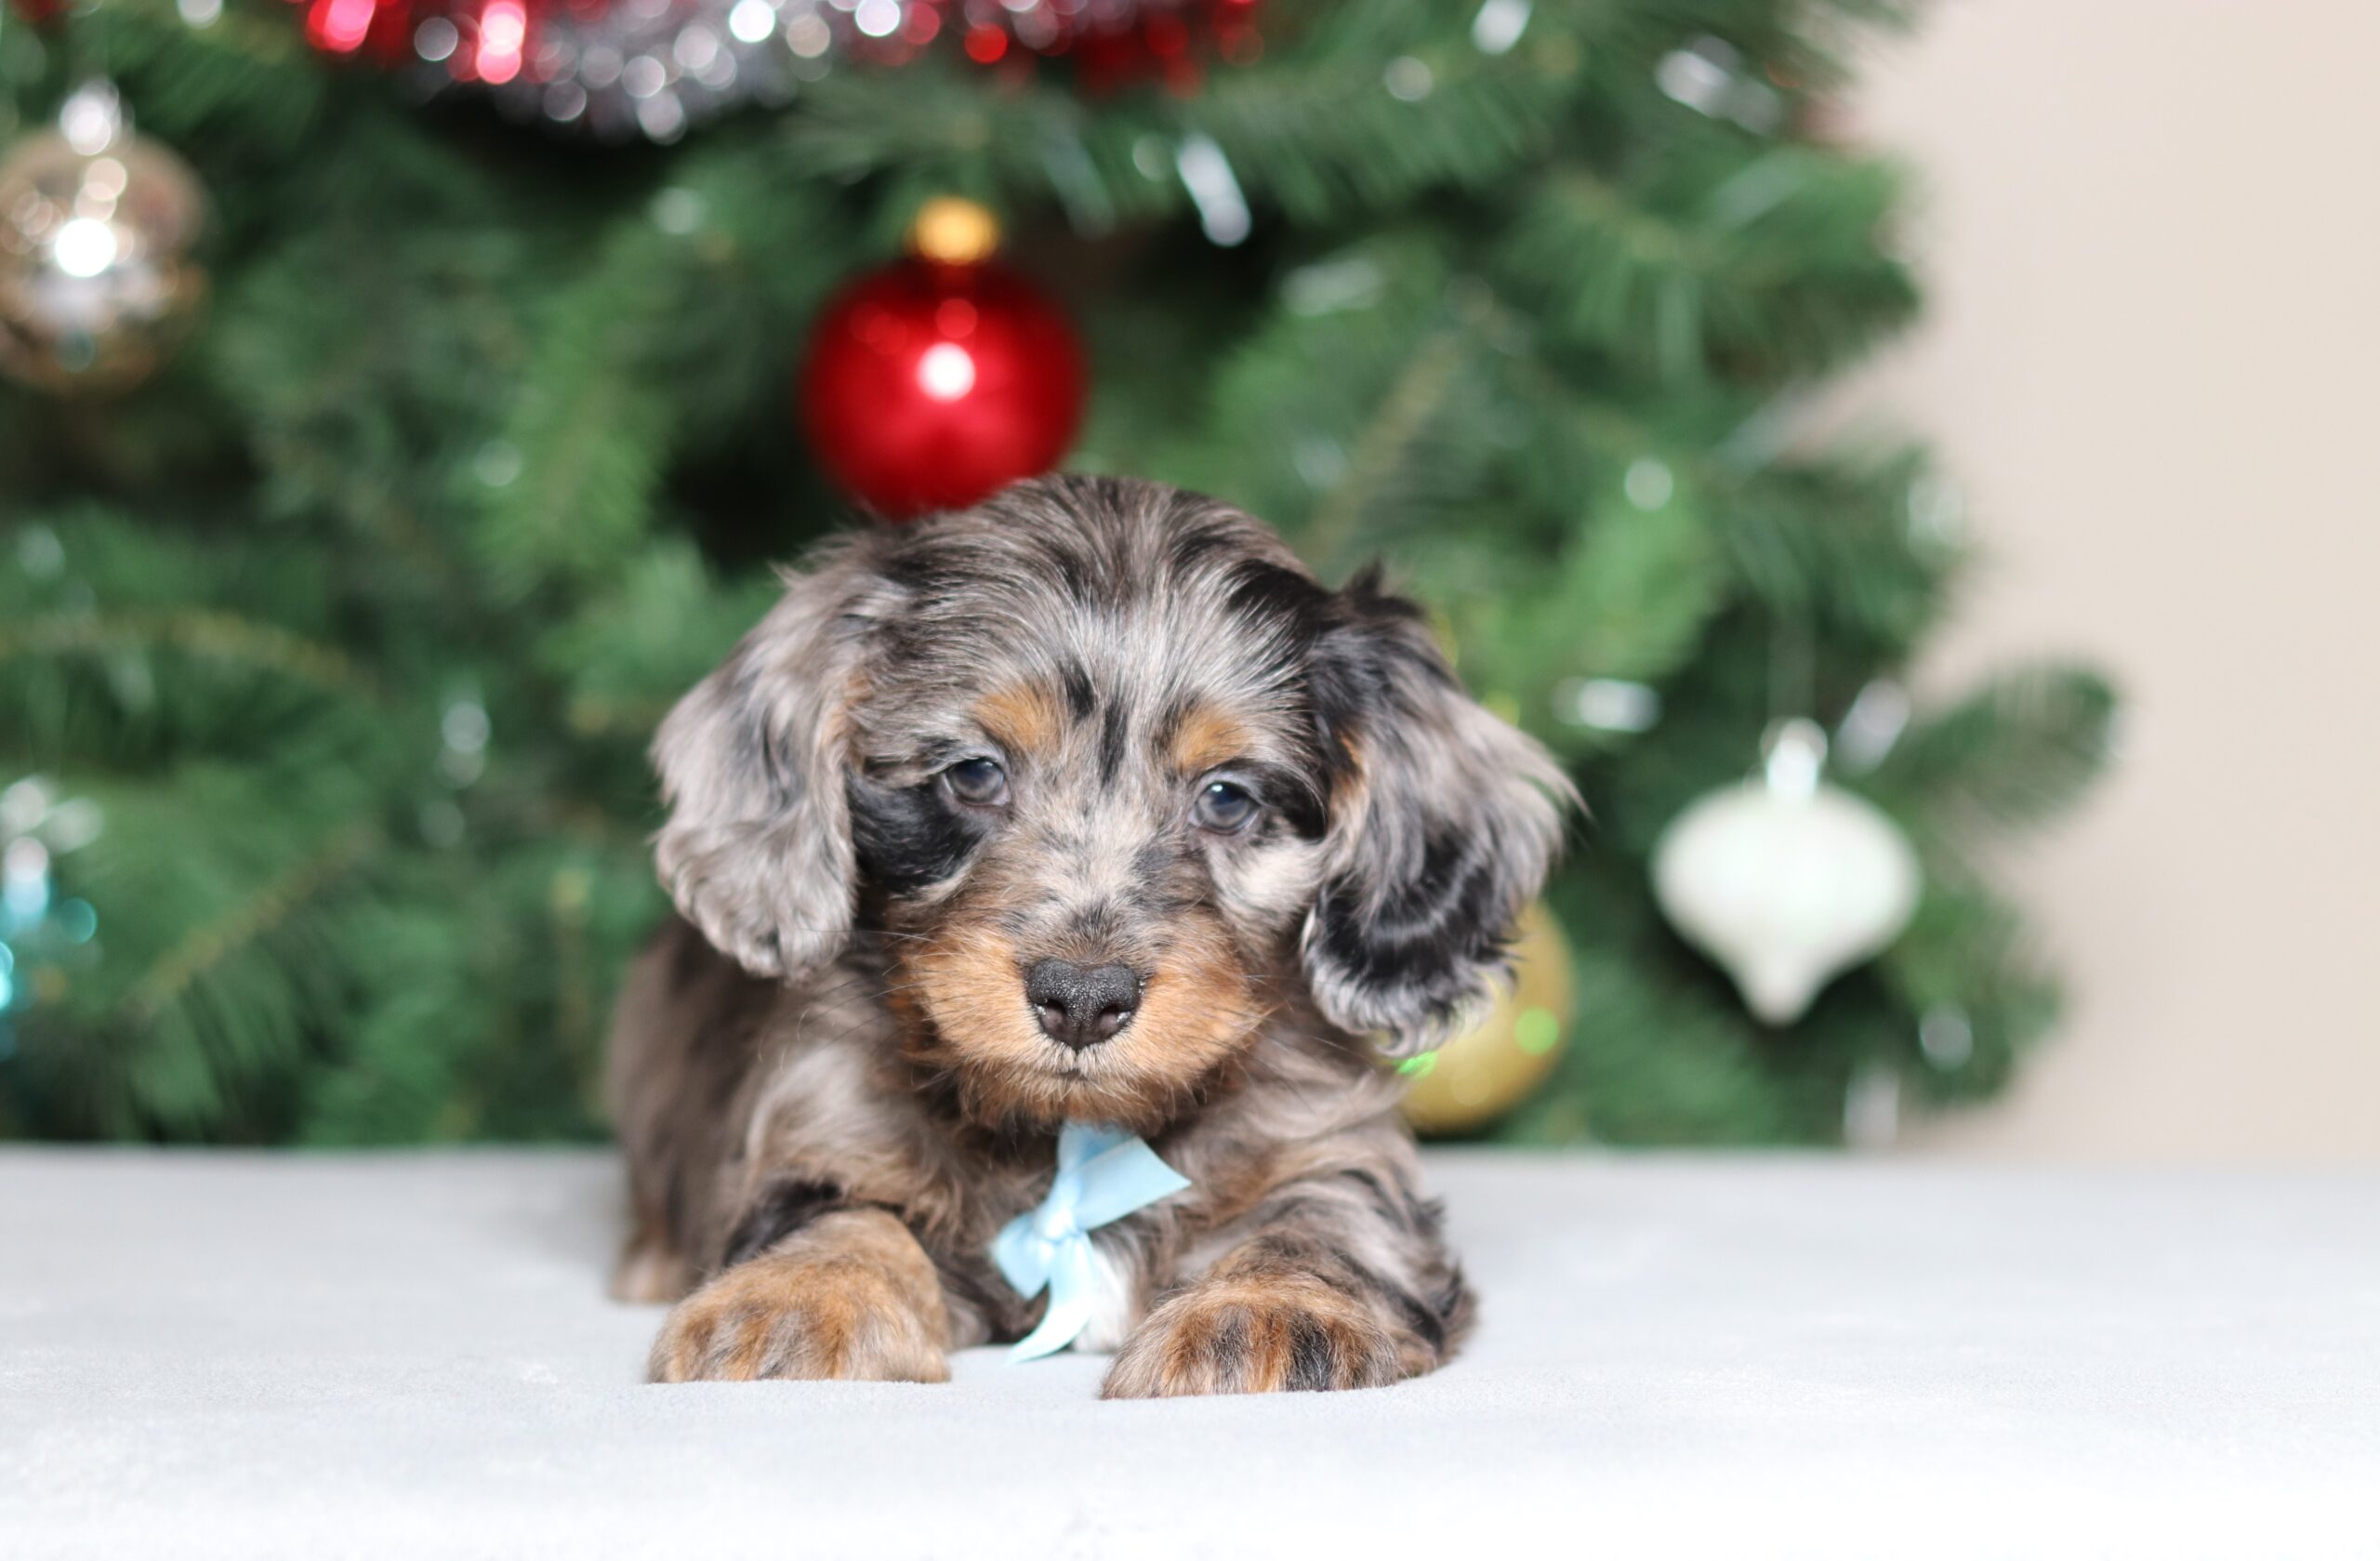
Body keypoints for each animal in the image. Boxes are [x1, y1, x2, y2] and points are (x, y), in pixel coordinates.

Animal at [607, 474, 1573, 1396]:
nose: (1081, 998)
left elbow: (1326, 1216)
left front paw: (1266, 1308)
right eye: (973, 773)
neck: (1074, 1130)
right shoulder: (825, 1119)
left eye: (1227, 796)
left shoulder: (1333, 1139)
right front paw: (798, 1295)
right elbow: (844, 1211)